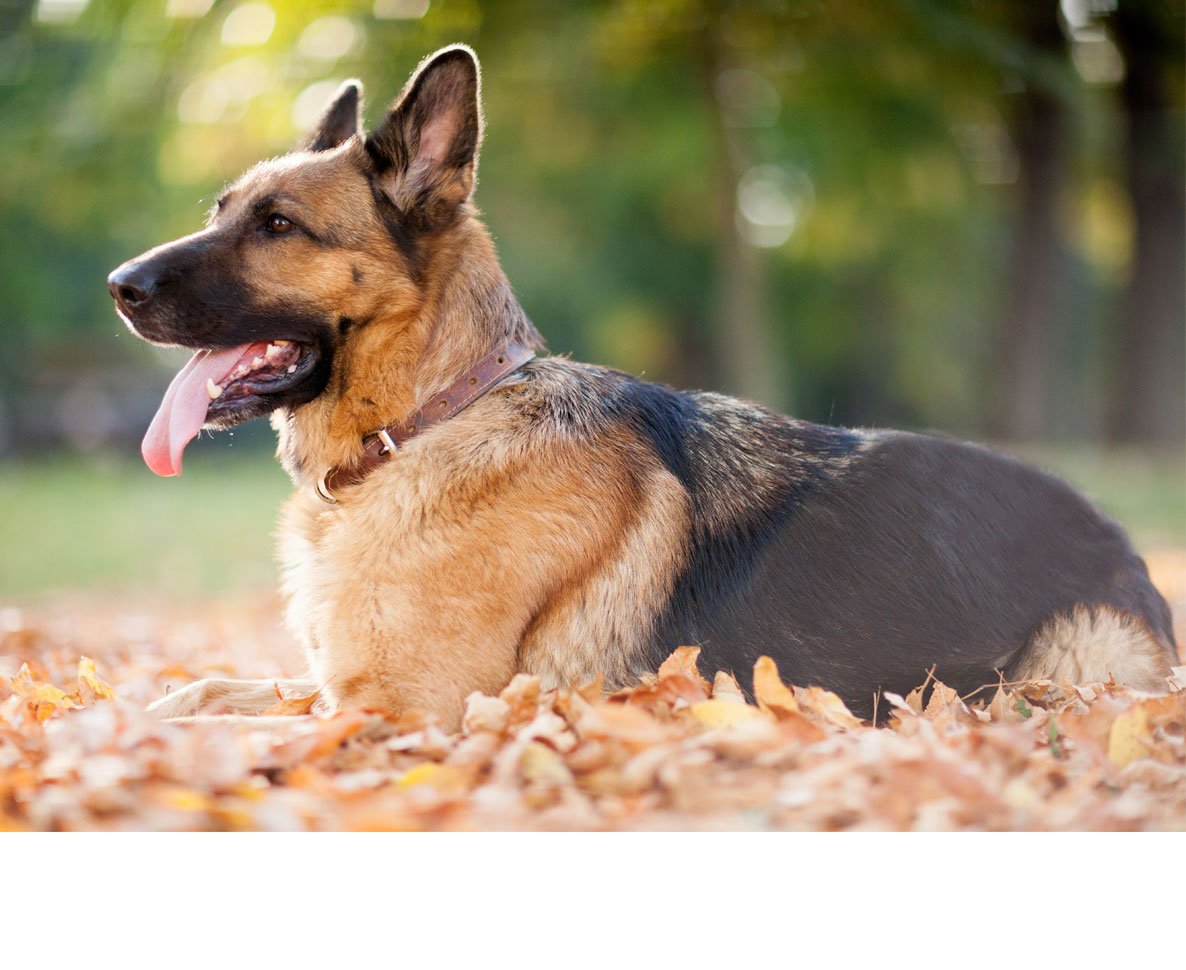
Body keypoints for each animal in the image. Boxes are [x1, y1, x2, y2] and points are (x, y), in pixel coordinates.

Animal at [109, 45, 1176, 725]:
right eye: (219, 211)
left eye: (278, 227)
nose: (119, 286)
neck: (431, 421)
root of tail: (1119, 538)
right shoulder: (341, 688)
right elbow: (197, 694)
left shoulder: (406, 711)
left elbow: (229, 724)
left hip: (1058, 668)